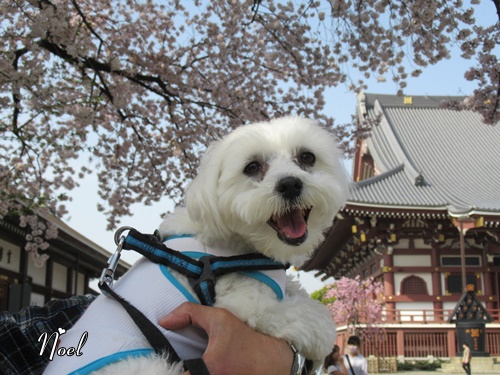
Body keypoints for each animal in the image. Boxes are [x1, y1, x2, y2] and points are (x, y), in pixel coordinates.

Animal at [43, 116, 350, 374]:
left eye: (307, 157)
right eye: (252, 167)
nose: (290, 184)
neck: (239, 244)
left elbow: (297, 291)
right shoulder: (243, 304)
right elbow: (308, 315)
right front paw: (322, 341)